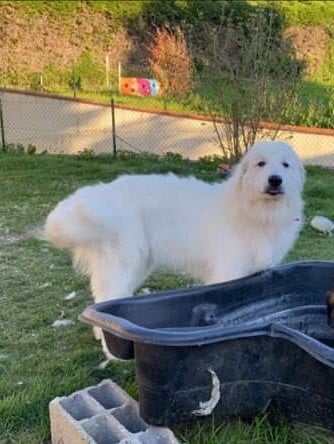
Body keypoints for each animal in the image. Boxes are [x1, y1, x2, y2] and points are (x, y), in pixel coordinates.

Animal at [45, 142, 306, 358]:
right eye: (261, 163)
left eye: (285, 165)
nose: (275, 180)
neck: (254, 210)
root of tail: (101, 194)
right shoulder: (229, 271)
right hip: (125, 262)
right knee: (107, 297)